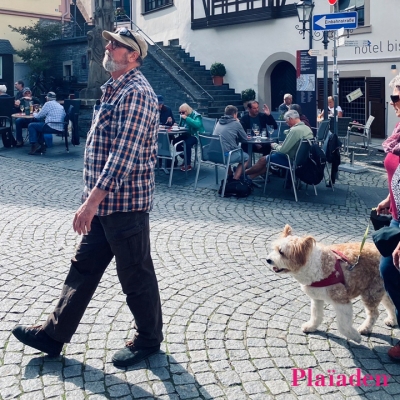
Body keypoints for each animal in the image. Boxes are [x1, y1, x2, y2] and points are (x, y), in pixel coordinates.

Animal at [268, 227, 396, 342]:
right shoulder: (317, 298)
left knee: (374, 313)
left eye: (281, 252)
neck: (313, 264)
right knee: (391, 304)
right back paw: (392, 320)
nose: (268, 260)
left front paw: (354, 336)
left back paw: (365, 328)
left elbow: (343, 325)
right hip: (381, 290)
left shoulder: (341, 300)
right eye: (275, 249)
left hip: (371, 293)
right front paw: (311, 327)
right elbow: (316, 315)